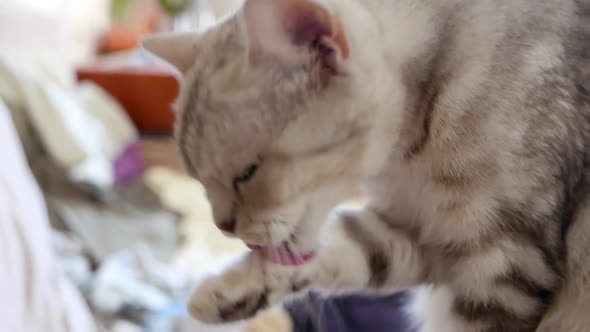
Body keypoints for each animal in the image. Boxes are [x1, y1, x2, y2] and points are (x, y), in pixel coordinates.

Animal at [142, 0, 590, 330]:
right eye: (199, 180)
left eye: (247, 173)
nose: (224, 226)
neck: (409, 160)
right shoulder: (414, 234)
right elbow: (344, 244)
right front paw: (229, 291)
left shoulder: (507, 266)